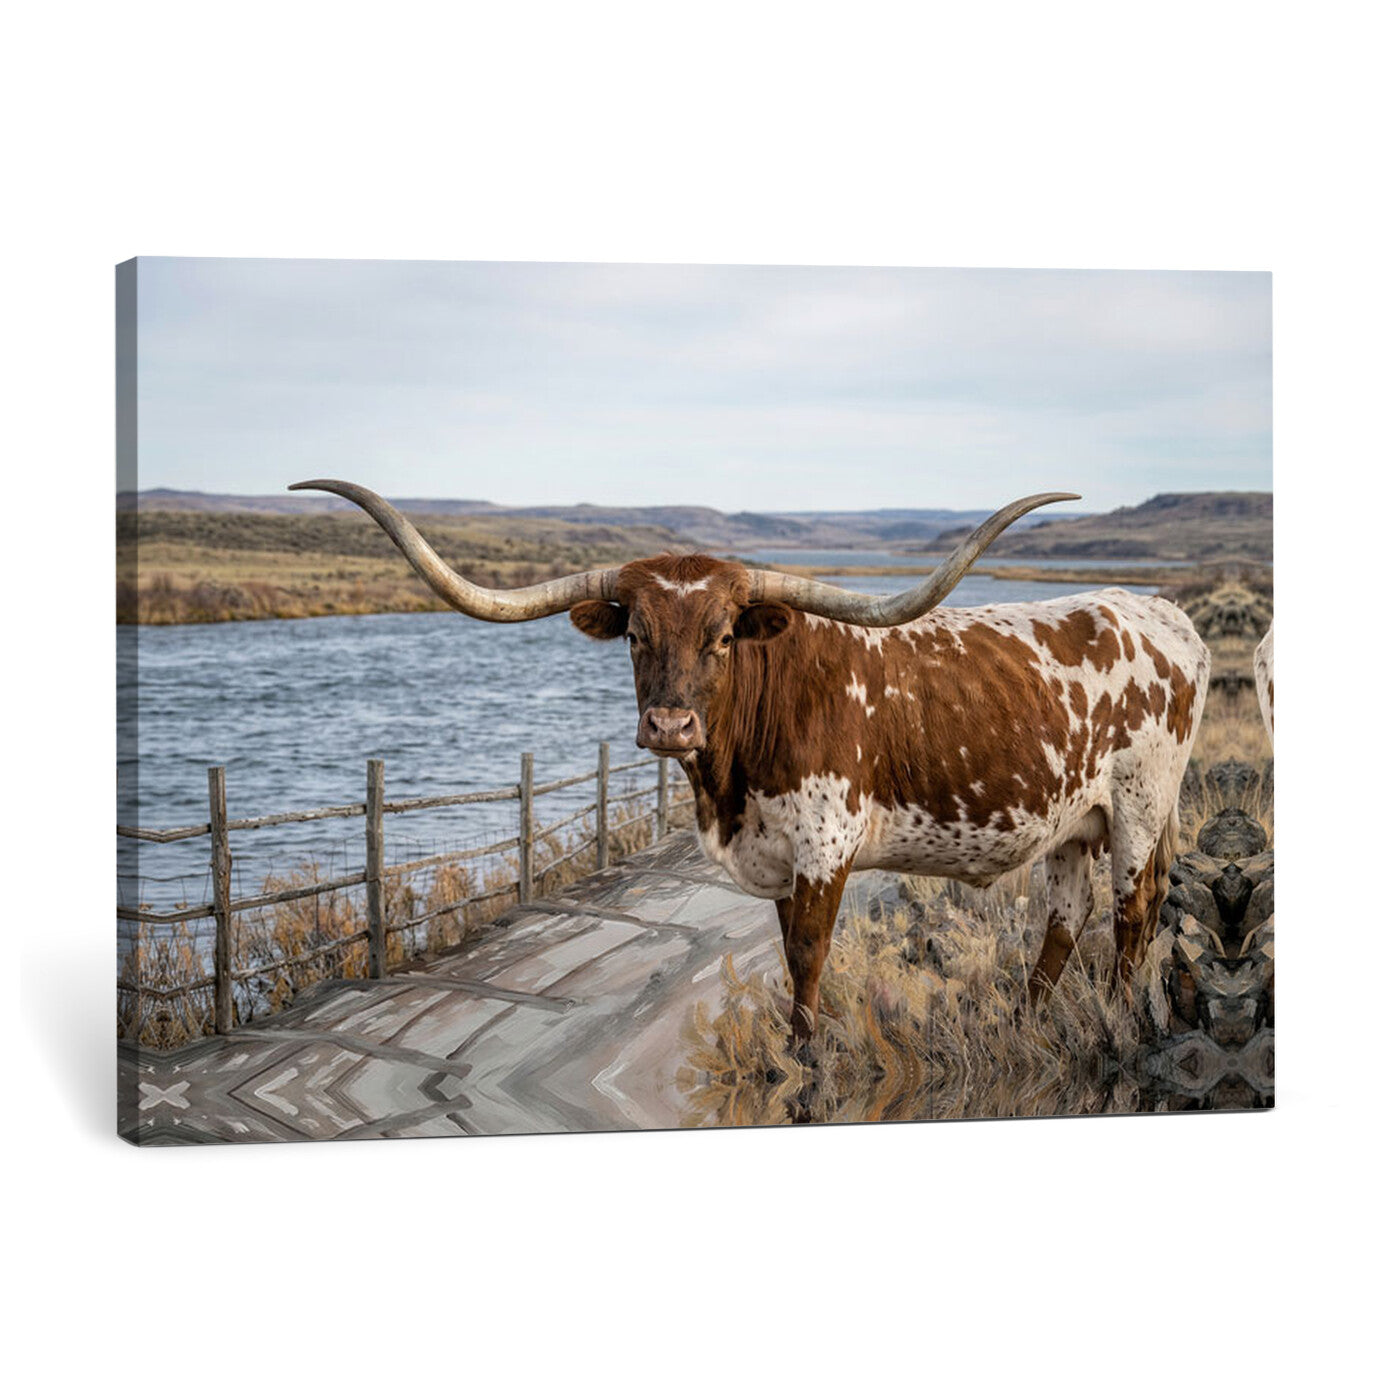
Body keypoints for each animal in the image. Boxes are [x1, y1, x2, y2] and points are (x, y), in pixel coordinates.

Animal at [291, 480, 1210, 1041]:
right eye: (635, 633)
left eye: (724, 636)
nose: (669, 724)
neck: (728, 787)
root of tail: (1160, 611)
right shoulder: (774, 859)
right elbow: (784, 956)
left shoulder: (824, 850)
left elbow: (806, 966)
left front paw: (805, 1067)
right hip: (1072, 822)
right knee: (1065, 919)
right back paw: (1024, 1022)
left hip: (1138, 808)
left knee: (1133, 914)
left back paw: (1118, 1021)